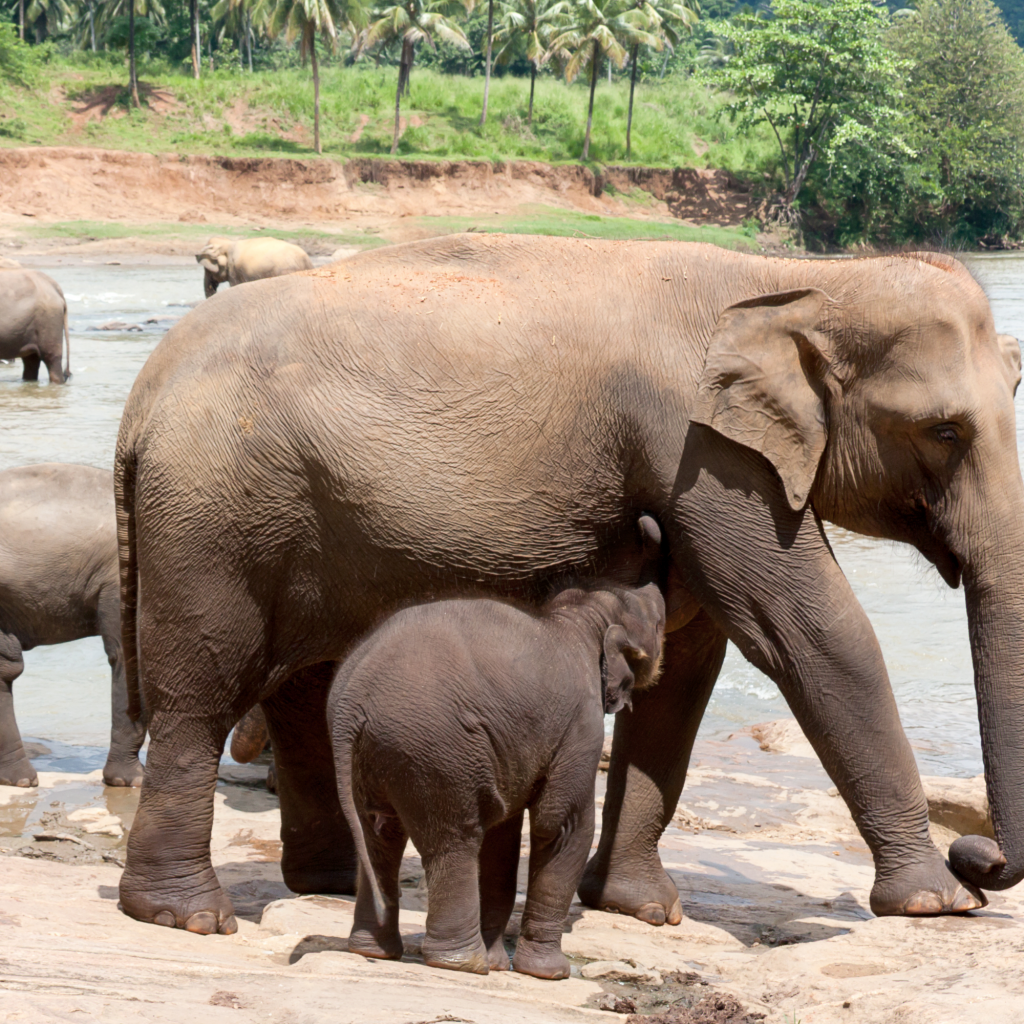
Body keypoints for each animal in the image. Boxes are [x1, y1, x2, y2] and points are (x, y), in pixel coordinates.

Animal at [116, 234, 1019, 937]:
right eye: (944, 430)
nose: (979, 859)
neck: (795, 277)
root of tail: (142, 398)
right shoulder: (703, 452)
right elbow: (810, 631)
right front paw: (934, 903)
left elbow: (684, 670)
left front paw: (637, 907)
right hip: (213, 516)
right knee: (200, 691)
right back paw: (188, 914)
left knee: (305, 690)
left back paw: (334, 885)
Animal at [327, 581, 663, 978]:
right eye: (658, 624)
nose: (655, 586)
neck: (577, 617)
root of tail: (350, 704)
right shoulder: (582, 725)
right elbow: (562, 824)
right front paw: (548, 974)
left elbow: (502, 836)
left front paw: (500, 964)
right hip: (436, 750)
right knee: (456, 838)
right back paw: (463, 964)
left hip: (380, 757)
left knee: (381, 837)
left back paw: (374, 950)